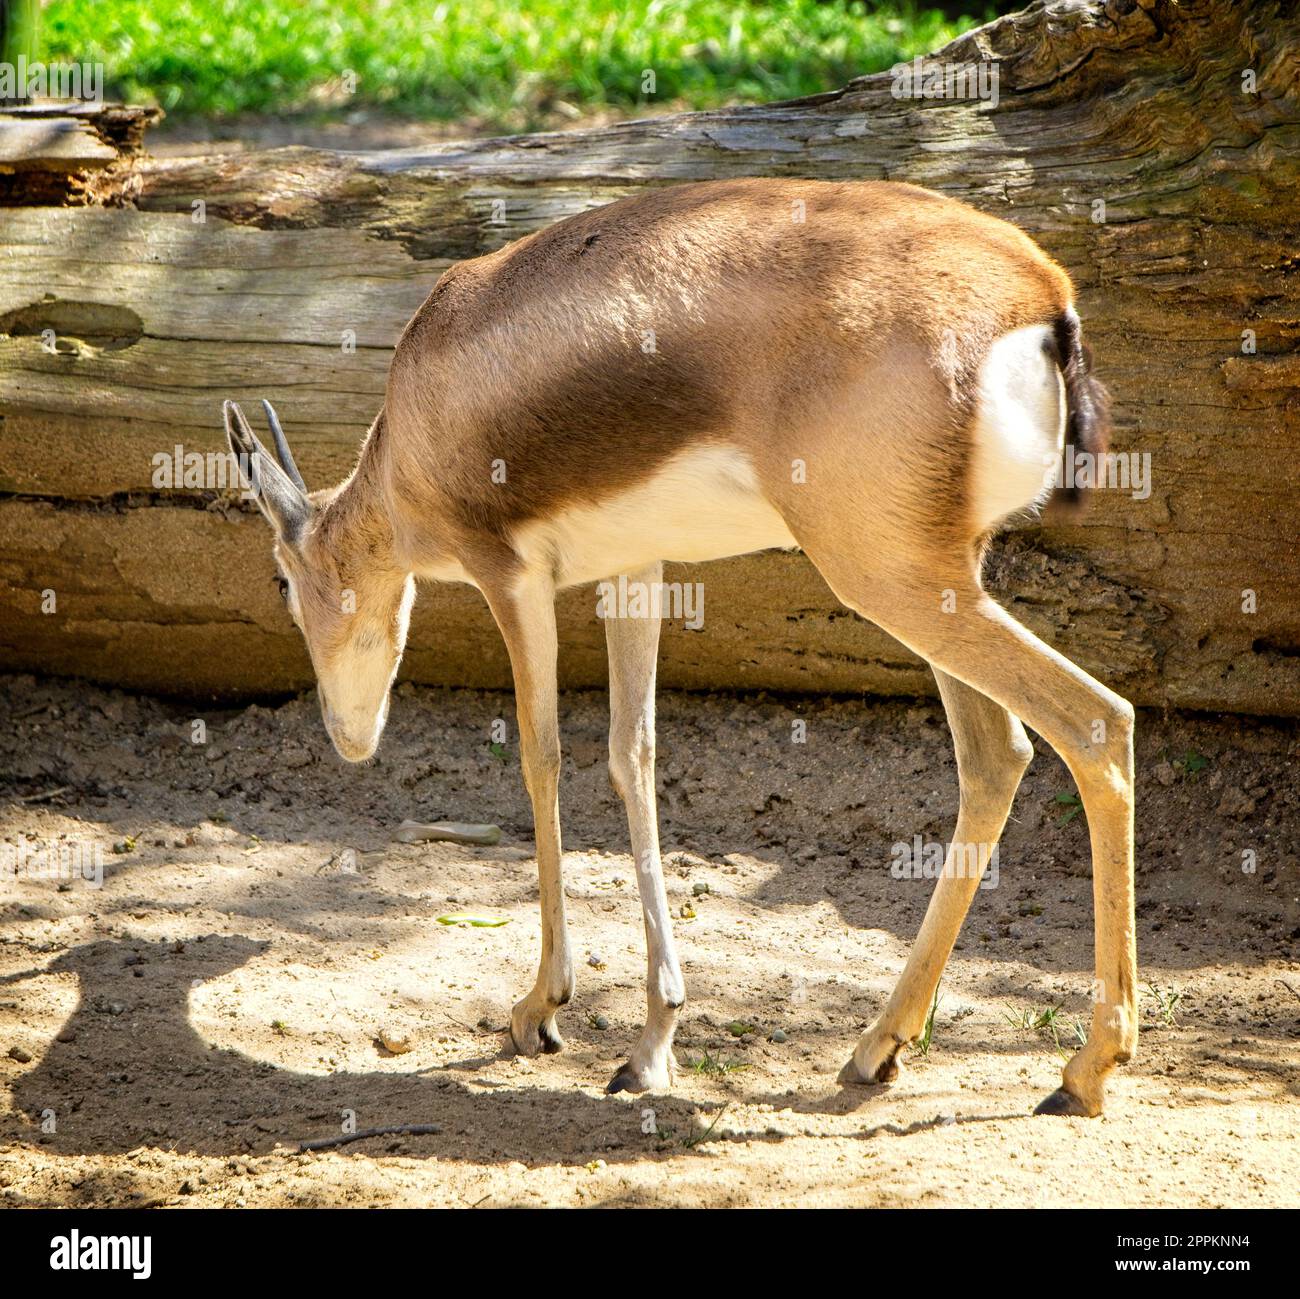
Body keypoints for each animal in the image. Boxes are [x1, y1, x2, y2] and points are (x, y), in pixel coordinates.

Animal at [226, 180, 1138, 1118]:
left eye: (281, 581)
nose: (347, 734)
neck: (424, 402)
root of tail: (1042, 294)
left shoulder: (509, 576)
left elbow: (542, 758)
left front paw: (542, 1008)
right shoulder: (637, 568)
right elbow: (634, 754)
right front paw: (652, 1040)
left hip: (890, 579)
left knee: (1098, 723)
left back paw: (1085, 1067)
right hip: (945, 578)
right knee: (997, 756)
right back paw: (877, 1047)